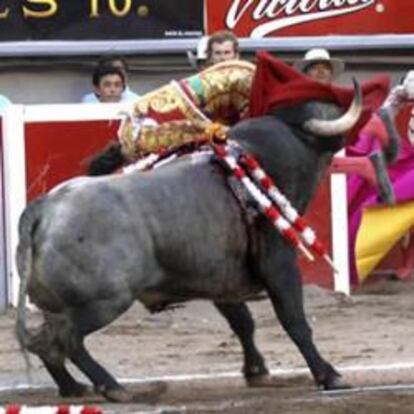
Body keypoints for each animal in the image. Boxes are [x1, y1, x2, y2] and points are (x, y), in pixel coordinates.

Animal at [17, 81, 362, 402]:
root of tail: (45, 207)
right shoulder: (279, 265)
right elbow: (294, 320)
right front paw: (329, 376)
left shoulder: (220, 278)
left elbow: (242, 322)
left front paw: (256, 371)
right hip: (105, 302)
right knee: (68, 339)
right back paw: (112, 387)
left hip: (58, 306)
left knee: (46, 342)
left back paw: (74, 388)